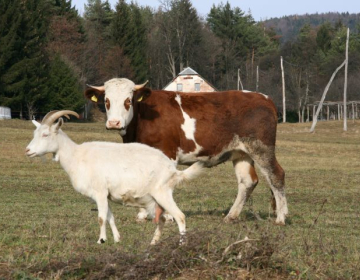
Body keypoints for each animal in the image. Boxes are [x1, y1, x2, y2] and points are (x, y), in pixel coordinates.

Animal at [26, 110, 202, 244]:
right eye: (35, 133)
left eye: (45, 134)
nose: (27, 151)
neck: (76, 156)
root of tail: (173, 170)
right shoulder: (104, 195)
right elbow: (110, 217)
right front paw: (117, 239)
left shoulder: (100, 192)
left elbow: (101, 217)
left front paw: (101, 240)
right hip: (154, 200)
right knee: (162, 220)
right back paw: (153, 243)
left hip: (162, 193)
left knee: (180, 216)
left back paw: (181, 244)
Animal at [86, 77, 288, 224]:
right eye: (106, 101)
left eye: (128, 100)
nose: (114, 123)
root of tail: (264, 98)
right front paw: (143, 214)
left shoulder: (167, 152)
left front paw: (167, 215)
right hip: (241, 152)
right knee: (247, 181)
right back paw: (231, 216)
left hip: (261, 147)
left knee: (276, 175)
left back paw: (281, 217)